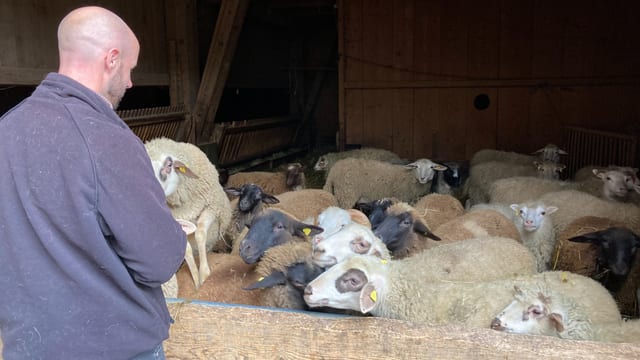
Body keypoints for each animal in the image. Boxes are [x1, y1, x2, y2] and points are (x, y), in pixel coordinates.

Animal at [145, 136, 232, 288]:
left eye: (169, 165)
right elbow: (186, 248)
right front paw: (196, 281)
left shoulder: (211, 208)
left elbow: (200, 233)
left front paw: (204, 275)